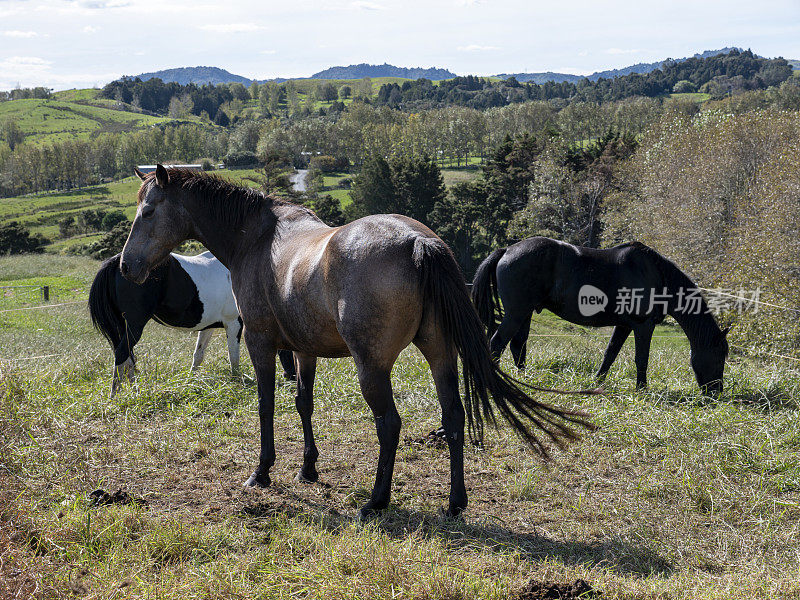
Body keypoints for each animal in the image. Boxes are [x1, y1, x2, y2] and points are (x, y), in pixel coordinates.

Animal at [88, 251, 294, 396]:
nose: (292, 378)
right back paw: (116, 395)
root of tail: (118, 262)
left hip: (124, 326)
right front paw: (237, 381)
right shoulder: (233, 324)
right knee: (122, 353)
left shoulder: (208, 327)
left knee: (128, 357)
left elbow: (198, 355)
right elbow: (233, 357)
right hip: (135, 325)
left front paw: (191, 381)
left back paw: (134, 389)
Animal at [119, 165, 592, 520]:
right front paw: (308, 467)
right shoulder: (303, 348)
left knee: (390, 424)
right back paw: (455, 502)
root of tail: (420, 242)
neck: (255, 238)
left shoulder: (260, 342)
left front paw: (263, 470)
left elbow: (266, 404)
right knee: (454, 417)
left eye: (148, 210)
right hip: (441, 355)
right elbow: (303, 403)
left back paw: (376, 501)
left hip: (372, 367)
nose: (126, 266)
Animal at [476, 237, 732, 396]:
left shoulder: (624, 326)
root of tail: (507, 250)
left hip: (524, 314)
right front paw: (642, 389)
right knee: (497, 344)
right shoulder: (643, 326)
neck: (656, 276)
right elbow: (642, 358)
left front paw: (597, 382)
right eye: (719, 356)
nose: (716, 393)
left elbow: (610, 354)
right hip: (517, 314)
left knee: (518, 346)